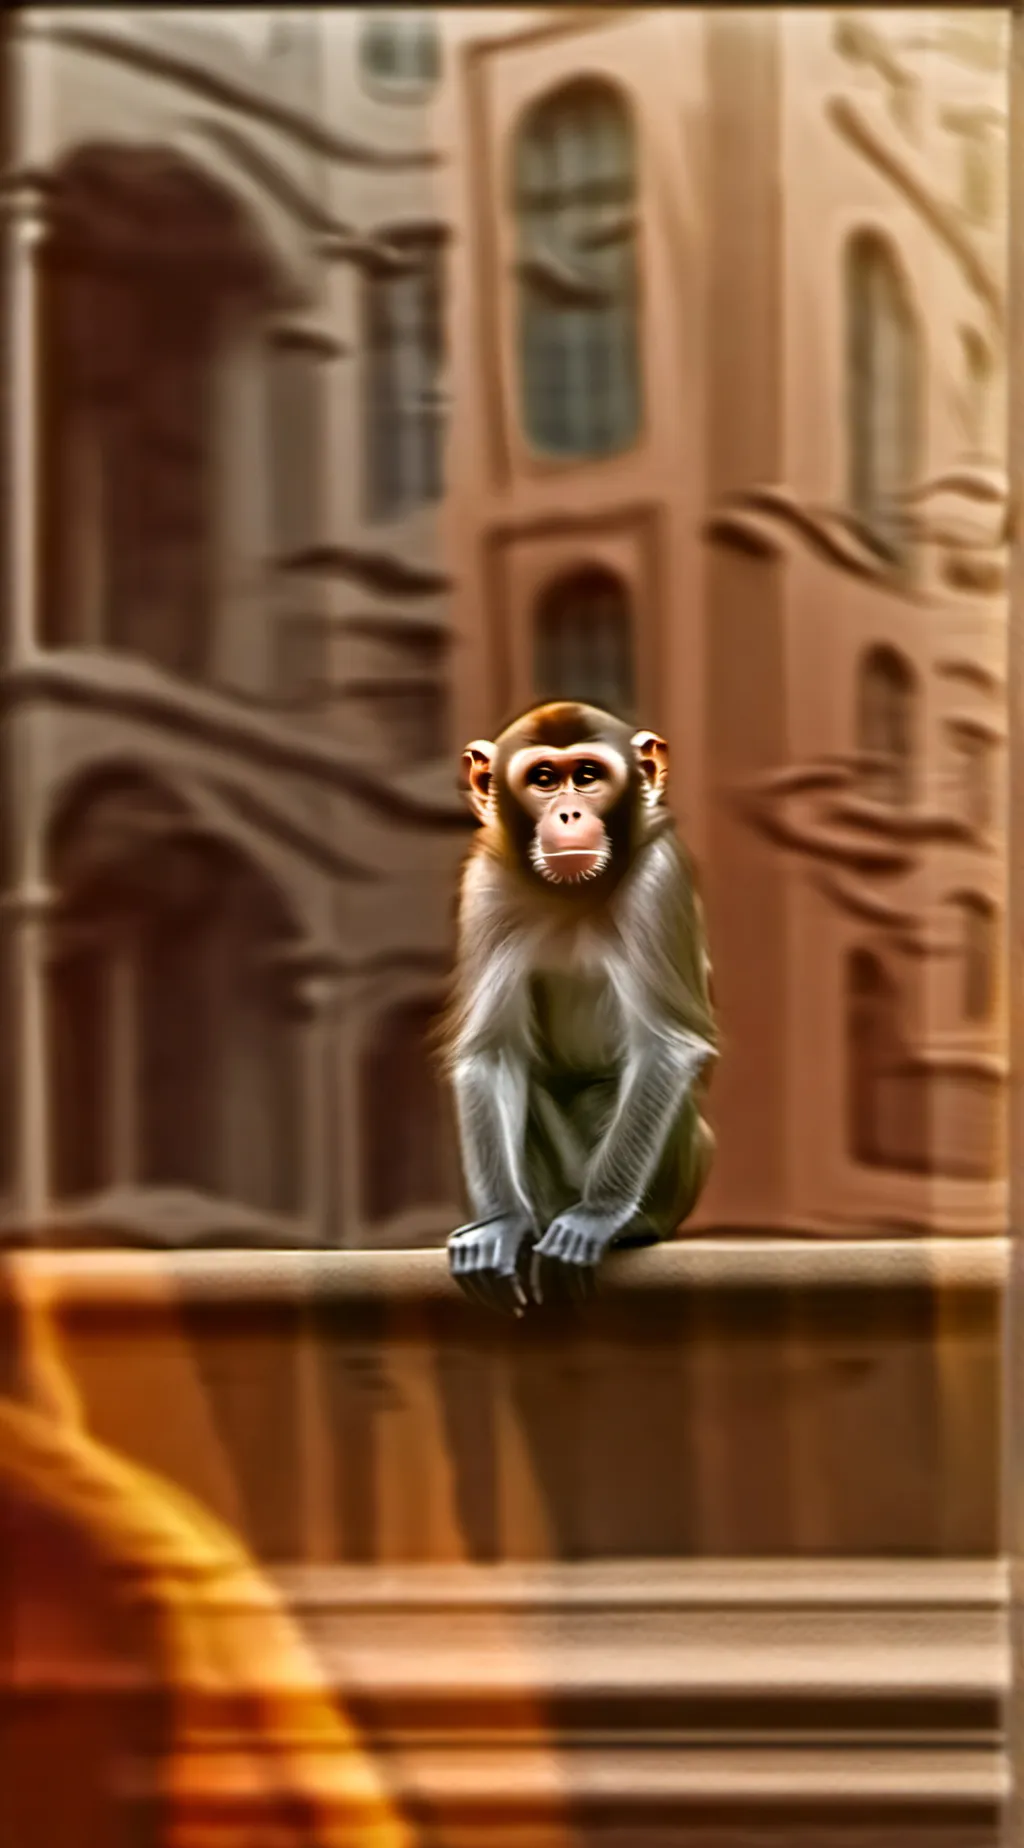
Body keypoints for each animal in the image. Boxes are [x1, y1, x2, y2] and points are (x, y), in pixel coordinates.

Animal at [439, 700, 717, 1316]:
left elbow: (665, 1044)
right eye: (544, 779)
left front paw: (597, 1214)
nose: (568, 814)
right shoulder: (485, 884)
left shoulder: (659, 875)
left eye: (588, 776)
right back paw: (531, 1223)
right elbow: (493, 1052)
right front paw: (501, 1222)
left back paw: (623, 1225)